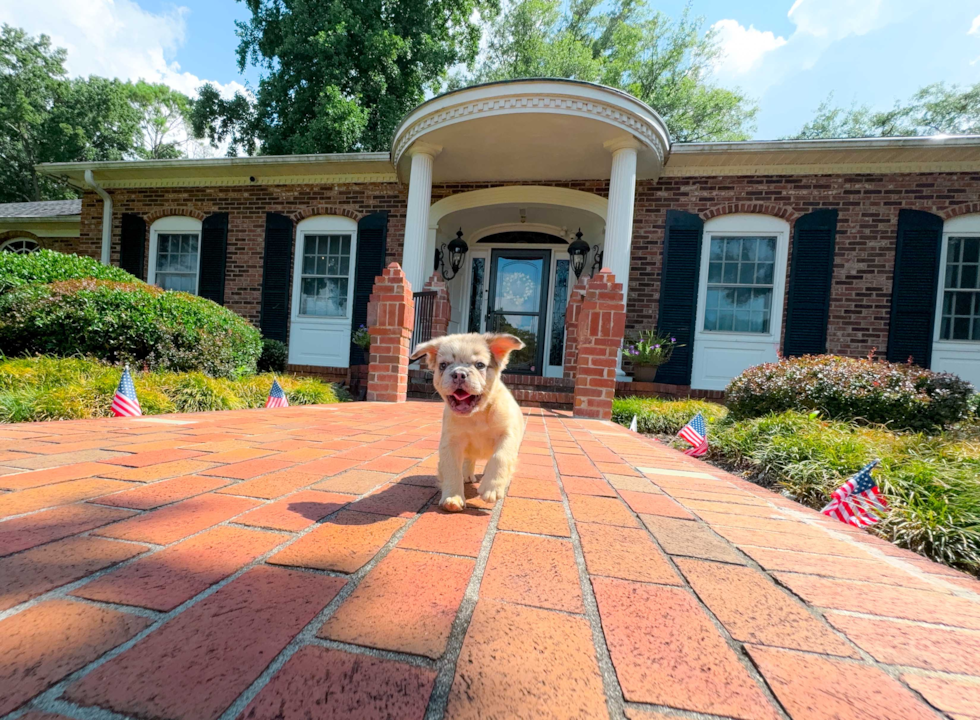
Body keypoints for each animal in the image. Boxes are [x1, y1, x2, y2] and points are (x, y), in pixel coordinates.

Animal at [410, 334, 524, 512]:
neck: (477, 414)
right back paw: (467, 475)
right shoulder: (451, 442)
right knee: (468, 459)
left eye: (480, 365)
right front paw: (453, 497)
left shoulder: (508, 434)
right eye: (443, 365)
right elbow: (452, 469)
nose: (458, 374)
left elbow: (500, 456)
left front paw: (491, 488)